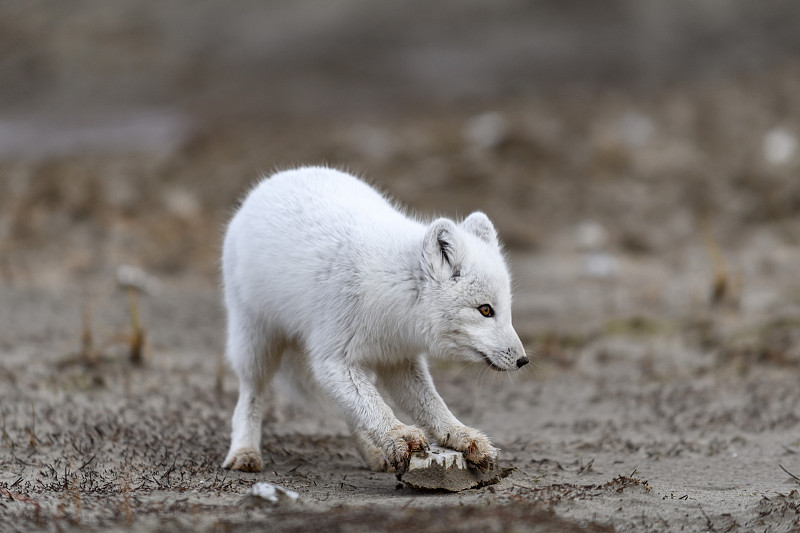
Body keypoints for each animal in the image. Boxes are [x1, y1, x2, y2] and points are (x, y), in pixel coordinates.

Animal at [222, 167, 528, 474]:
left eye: (507, 309)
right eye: (485, 310)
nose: (523, 361)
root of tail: (280, 176)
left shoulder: (398, 359)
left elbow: (430, 405)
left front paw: (461, 435)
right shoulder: (333, 359)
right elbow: (376, 407)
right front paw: (399, 435)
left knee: (352, 410)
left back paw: (373, 453)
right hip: (255, 343)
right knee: (251, 394)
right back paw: (244, 451)